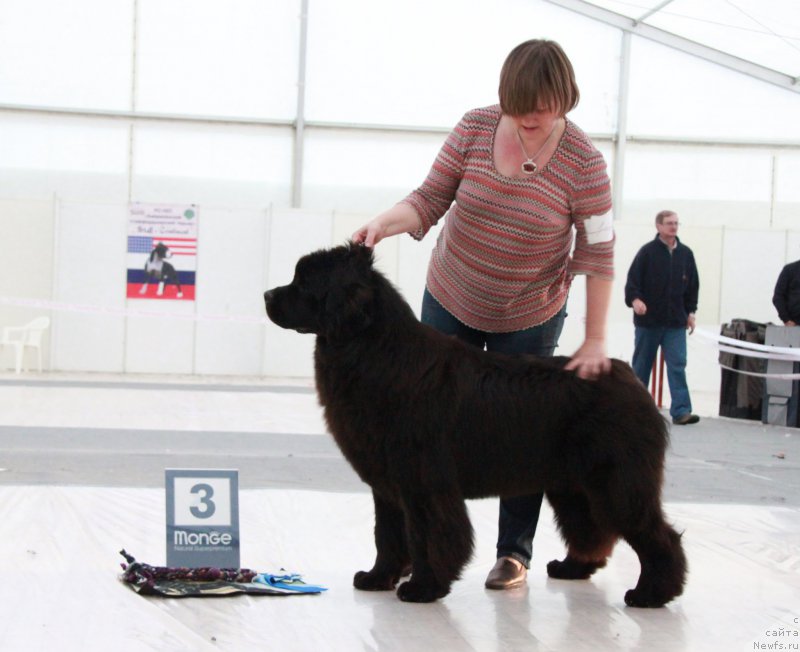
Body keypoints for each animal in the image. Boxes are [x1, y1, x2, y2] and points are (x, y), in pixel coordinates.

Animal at [264, 243, 688, 608]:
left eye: (304, 281)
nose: (267, 295)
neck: (376, 349)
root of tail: (629, 377)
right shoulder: (388, 485)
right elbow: (387, 534)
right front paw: (377, 577)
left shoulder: (423, 482)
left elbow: (427, 535)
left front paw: (423, 587)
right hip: (574, 485)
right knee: (592, 528)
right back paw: (573, 568)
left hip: (617, 481)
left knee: (656, 535)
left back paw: (652, 593)